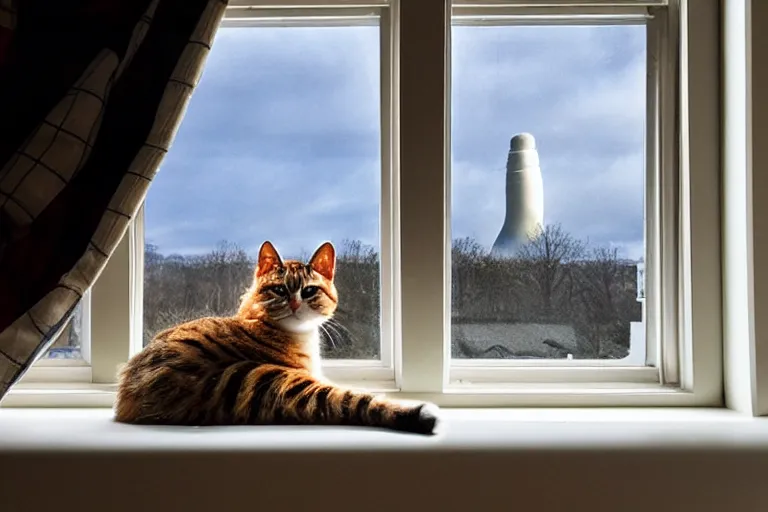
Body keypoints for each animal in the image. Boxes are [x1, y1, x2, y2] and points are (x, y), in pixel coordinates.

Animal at [113, 242, 438, 434]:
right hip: (270, 380)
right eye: (280, 289)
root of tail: (128, 397)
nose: (294, 304)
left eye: (309, 290)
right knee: (352, 401)